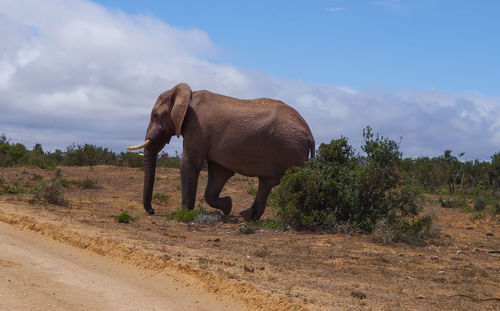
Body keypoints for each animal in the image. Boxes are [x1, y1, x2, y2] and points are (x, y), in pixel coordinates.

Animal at [129, 83, 314, 222]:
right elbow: (219, 173)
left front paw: (184, 214)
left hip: (292, 149)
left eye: (155, 115)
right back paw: (246, 216)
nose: (152, 211)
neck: (188, 95)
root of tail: (309, 132)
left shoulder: (197, 128)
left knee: (292, 184)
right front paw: (228, 207)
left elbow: (189, 164)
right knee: (266, 183)